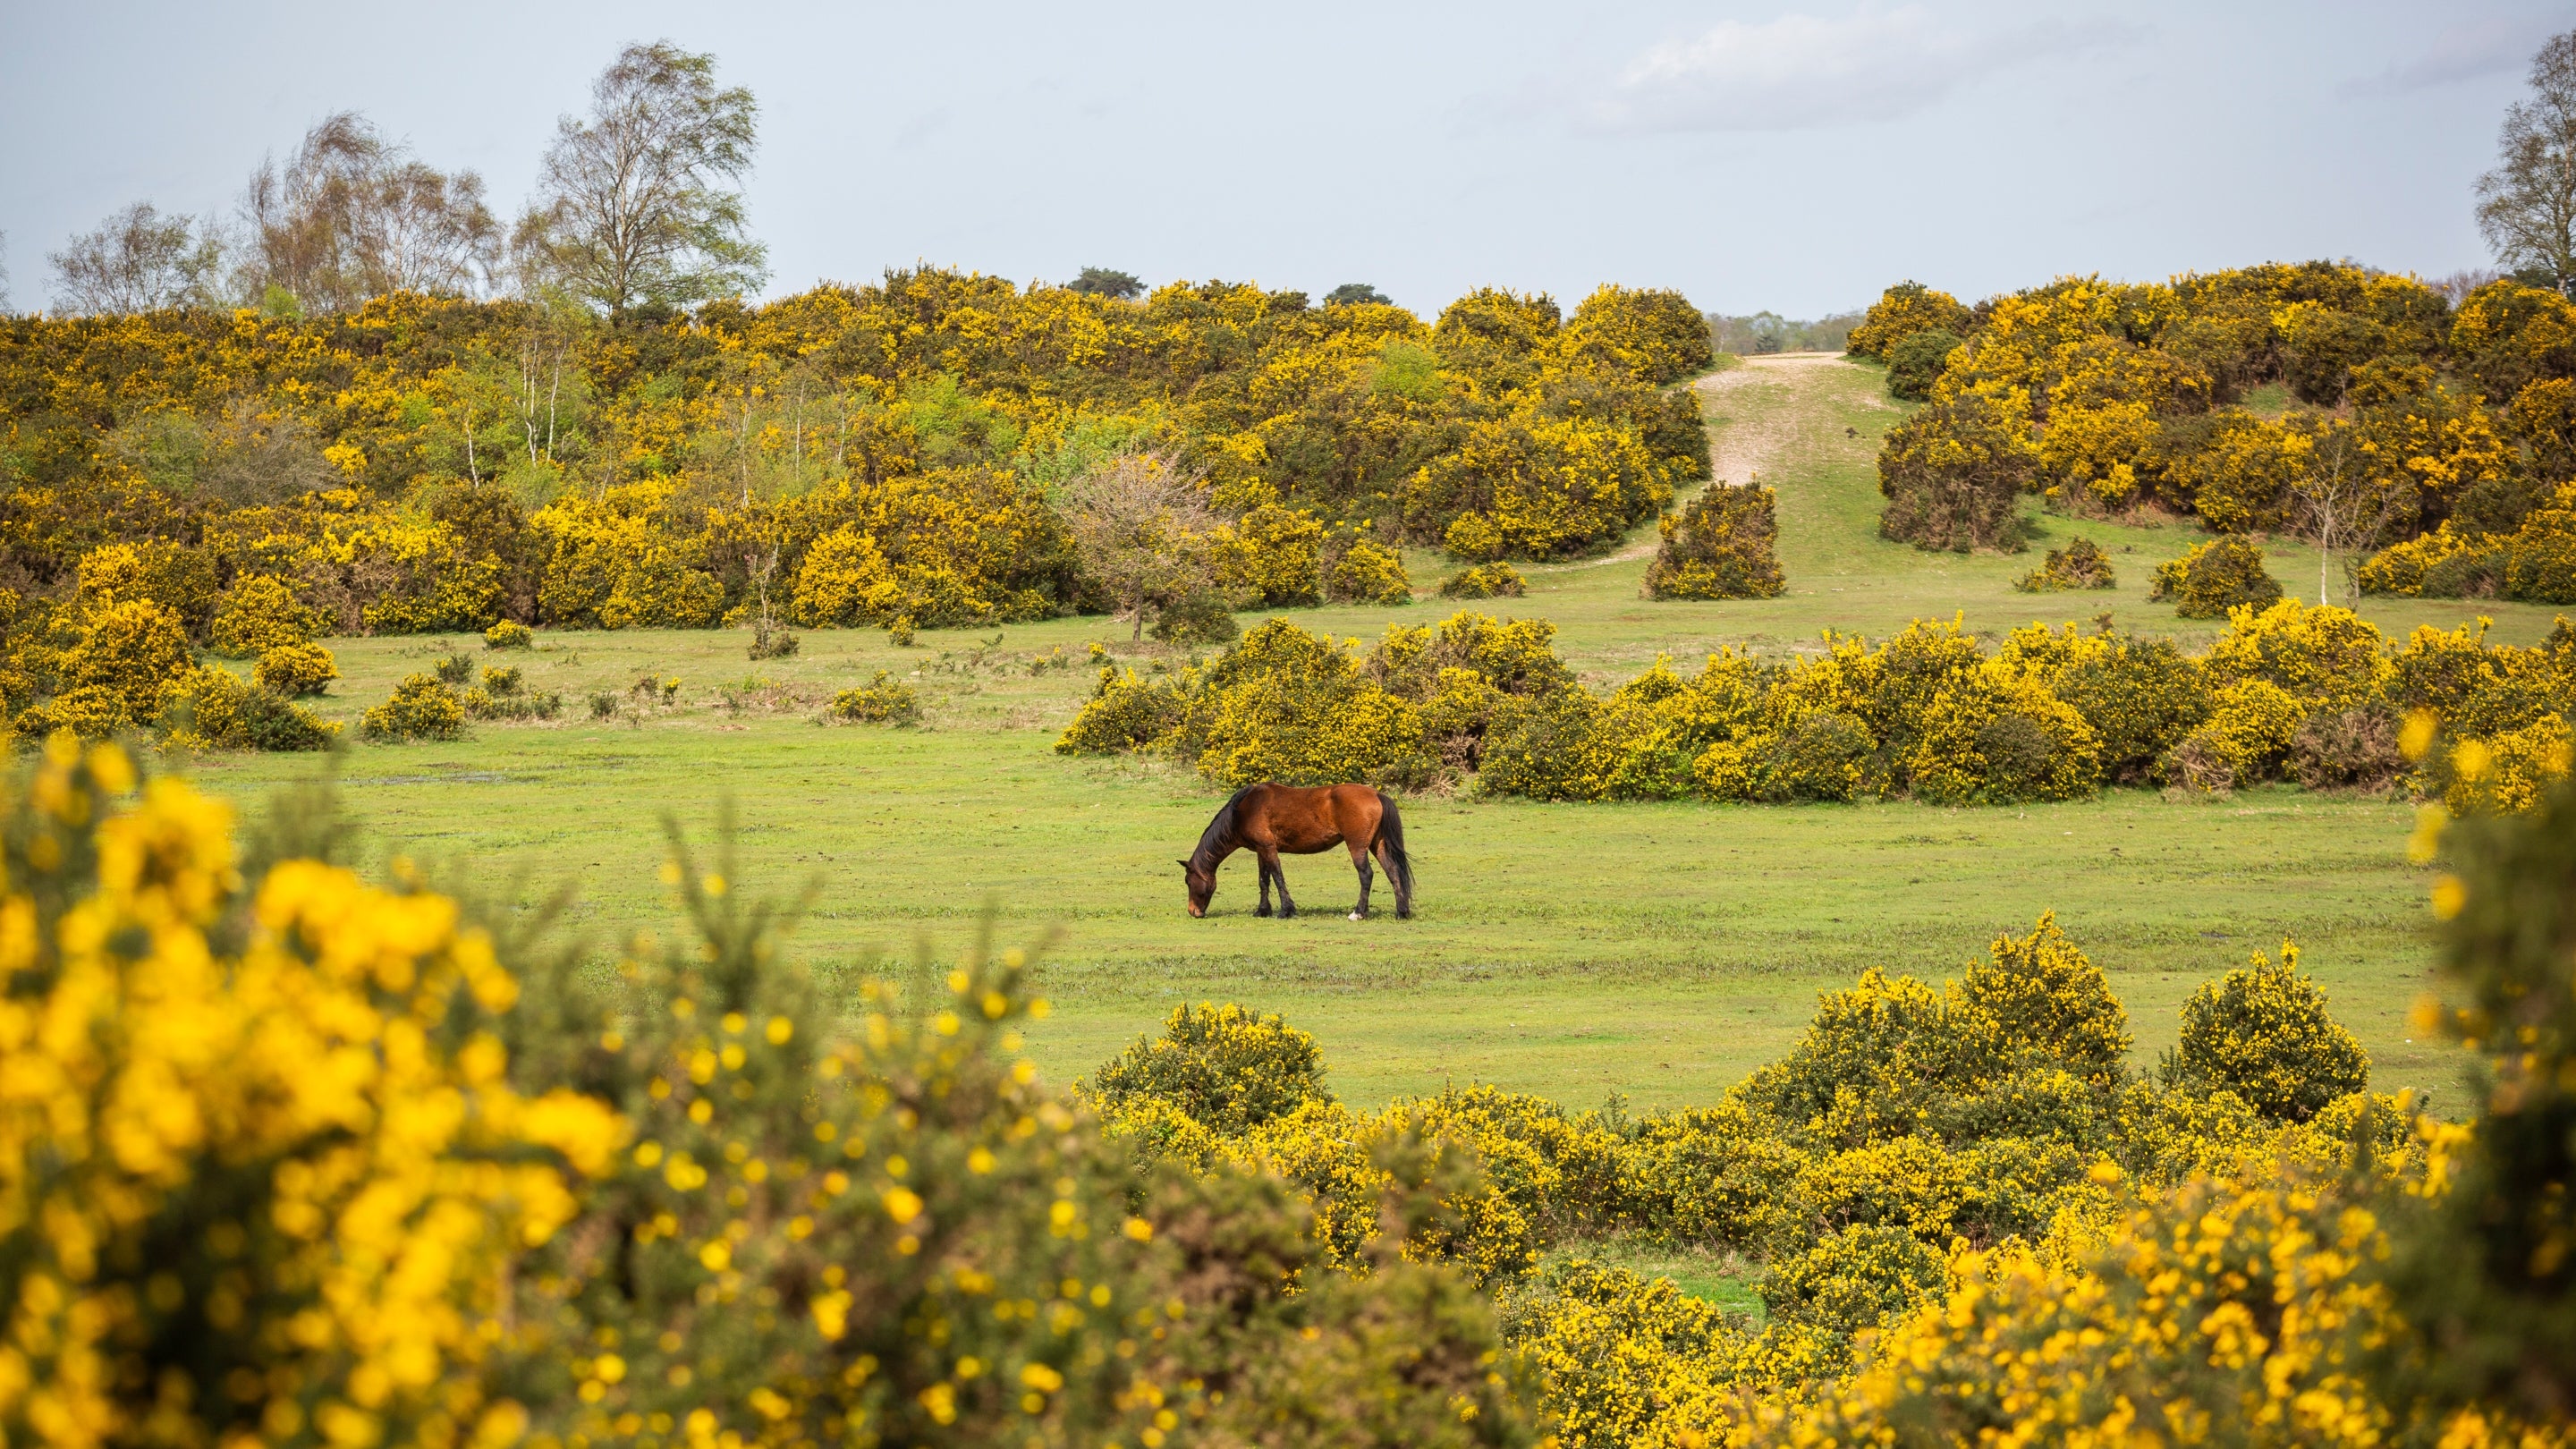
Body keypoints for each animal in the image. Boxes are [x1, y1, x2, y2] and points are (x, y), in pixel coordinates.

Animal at [1179, 782, 1413, 921]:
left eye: (1189, 882)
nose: (1193, 911)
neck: (1243, 810)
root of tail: (1376, 793)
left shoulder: (1268, 848)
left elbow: (1277, 877)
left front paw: (1286, 910)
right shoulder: (1261, 851)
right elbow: (1264, 881)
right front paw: (1262, 911)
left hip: (1357, 846)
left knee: (1366, 875)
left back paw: (1358, 913)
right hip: (1377, 845)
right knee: (1393, 872)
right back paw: (1402, 912)